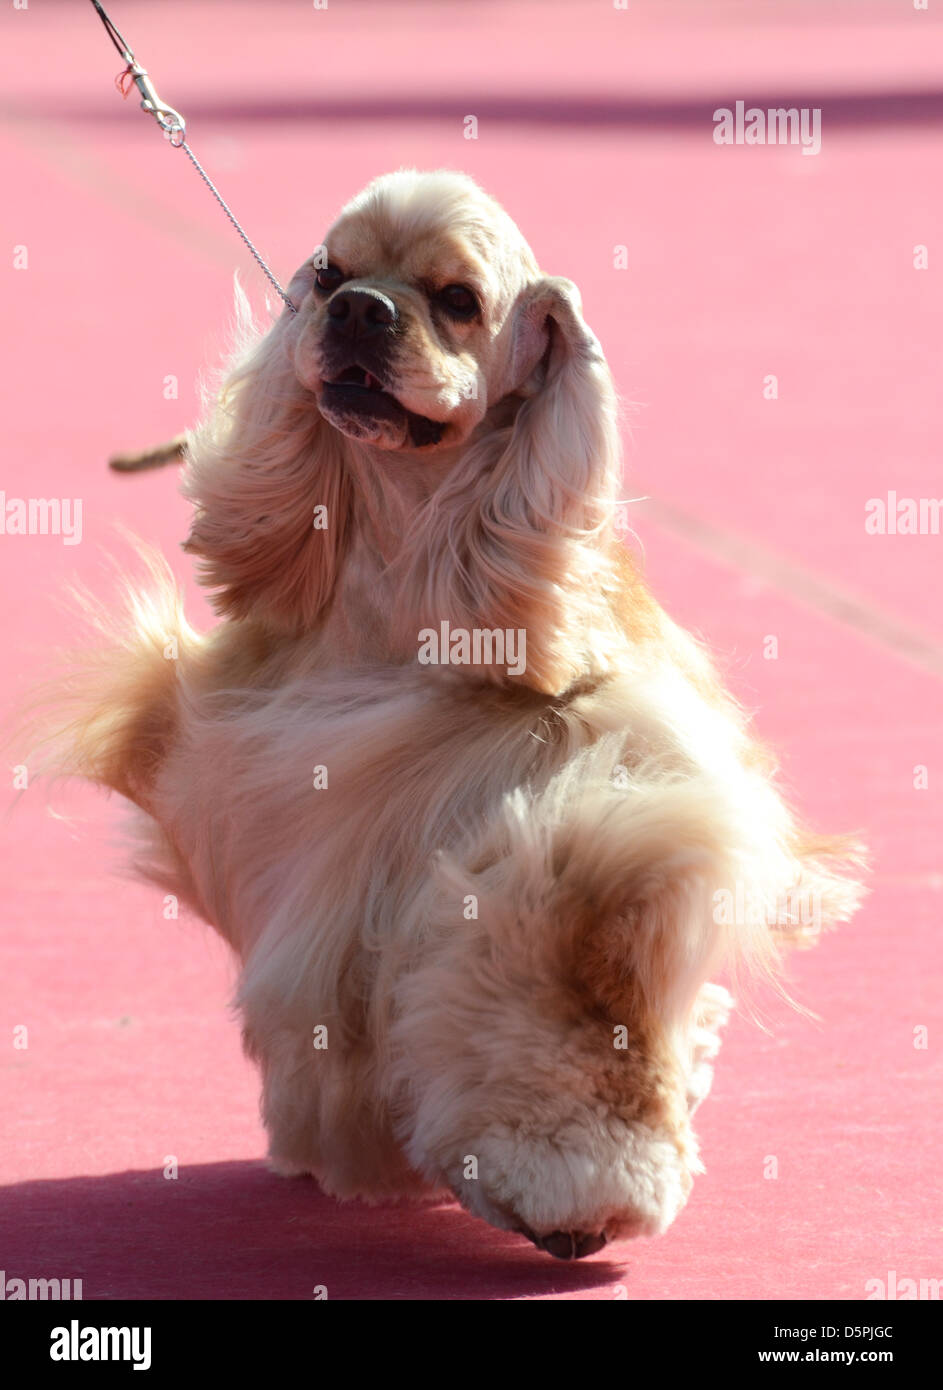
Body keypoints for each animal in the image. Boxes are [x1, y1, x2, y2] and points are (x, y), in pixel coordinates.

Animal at [35, 168, 862, 1256]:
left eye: (459, 300)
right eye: (329, 274)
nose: (357, 310)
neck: (401, 572)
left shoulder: (569, 793)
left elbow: (565, 974)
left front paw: (576, 1178)